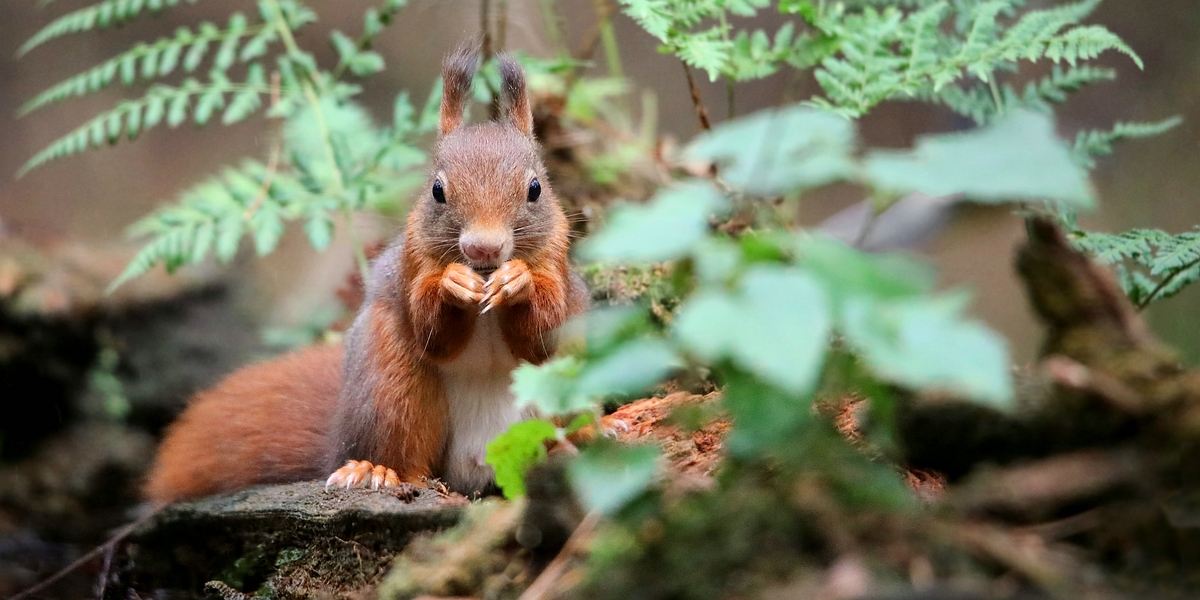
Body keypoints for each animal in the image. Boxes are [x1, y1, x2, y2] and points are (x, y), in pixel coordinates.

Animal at [144, 46, 590, 504]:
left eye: (535, 189)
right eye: (436, 191)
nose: (483, 248)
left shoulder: (556, 266)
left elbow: (541, 336)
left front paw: (517, 281)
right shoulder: (411, 266)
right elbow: (431, 330)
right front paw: (452, 284)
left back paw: (590, 433)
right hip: (390, 387)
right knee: (405, 458)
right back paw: (374, 471)